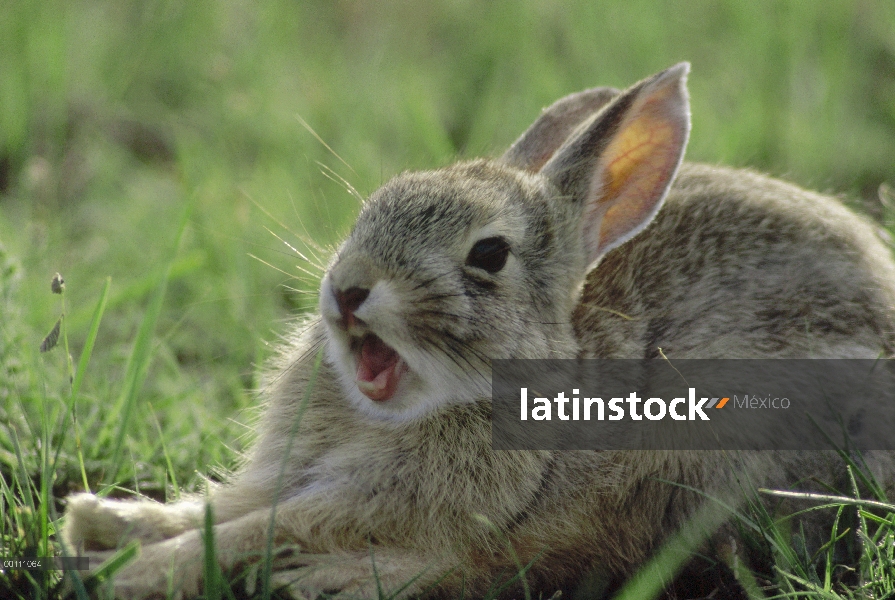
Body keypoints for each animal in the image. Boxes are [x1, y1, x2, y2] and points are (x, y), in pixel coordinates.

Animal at [61, 62, 895, 600]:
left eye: (488, 255)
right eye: (370, 210)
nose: (347, 287)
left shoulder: (387, 499)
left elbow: (257, 529)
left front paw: (128, 572)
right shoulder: (296, 471)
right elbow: (223, 511)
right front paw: (101, 521)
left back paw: (338, 580)